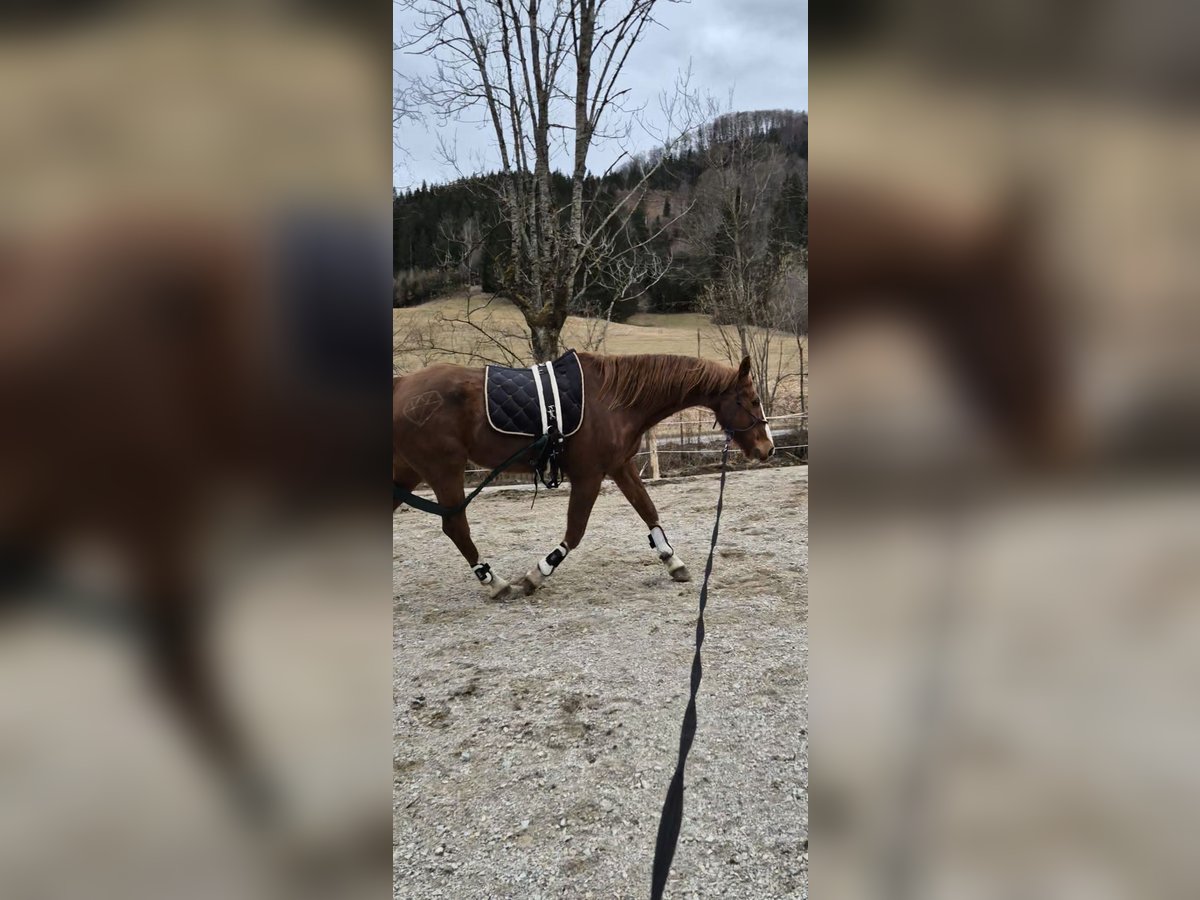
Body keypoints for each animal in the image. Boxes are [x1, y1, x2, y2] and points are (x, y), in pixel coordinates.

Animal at [388, 352, 772, 600]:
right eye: (753, 400)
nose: (767, 448)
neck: (615, 399)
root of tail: (402, 384)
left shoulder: (620, 466)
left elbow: (648, 511)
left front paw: (672, 560)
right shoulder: (589, 476)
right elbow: (575, 531)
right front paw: (536, 575)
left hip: (408, 471)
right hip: (444, 470)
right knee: (455, 527)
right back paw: (496, 582)